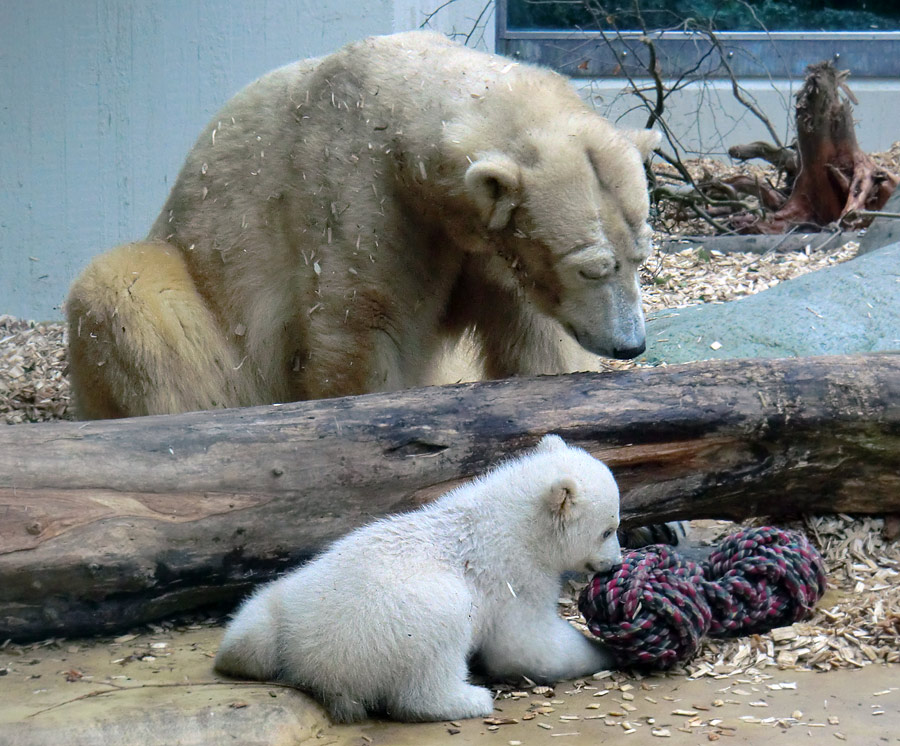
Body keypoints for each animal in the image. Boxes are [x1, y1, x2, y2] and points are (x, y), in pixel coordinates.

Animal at [68, 32, 660, 416]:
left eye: (640, 257)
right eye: (591, 268)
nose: (631, 345)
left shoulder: (483, 245)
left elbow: (531, 337)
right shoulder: (356, 189)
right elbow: (367, 325)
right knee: (131, 296)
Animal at [216, 436, 624, 720]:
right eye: (608, 529)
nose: (615, 563)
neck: (512, 521)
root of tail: (305, 660)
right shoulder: (515, 576)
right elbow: (529, 646)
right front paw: (606, 652)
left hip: (288, 594)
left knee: (252, 624)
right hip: (392, 624)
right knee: (438, 637)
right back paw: (467, 699)